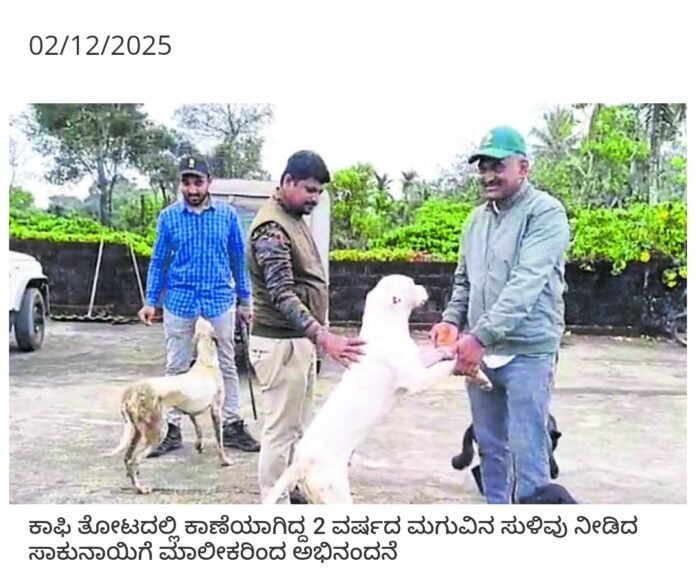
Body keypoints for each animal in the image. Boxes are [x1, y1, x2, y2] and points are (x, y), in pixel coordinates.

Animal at [105, 318, 231, 494]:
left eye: (201, 324)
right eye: (207, 323)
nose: (200, 315)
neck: (205, 362)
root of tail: (131, 392)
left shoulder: (190, 411)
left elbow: (198, 428)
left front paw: (199, 445)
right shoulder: (216, 411)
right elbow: (220, 441)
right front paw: (224, 460)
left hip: (137, 431)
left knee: (127, 457)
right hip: (158, 430)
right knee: (134, 459)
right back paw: (141, 488)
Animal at [262, 274, 493, 505]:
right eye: (411, 284)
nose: (423, 288)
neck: (385, 325)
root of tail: (299, 462)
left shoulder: (416, 363)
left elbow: (438, 354)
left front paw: (469, 367)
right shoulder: (416, 379)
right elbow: (446, 366)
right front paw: (465, 365)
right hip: (334, 491)